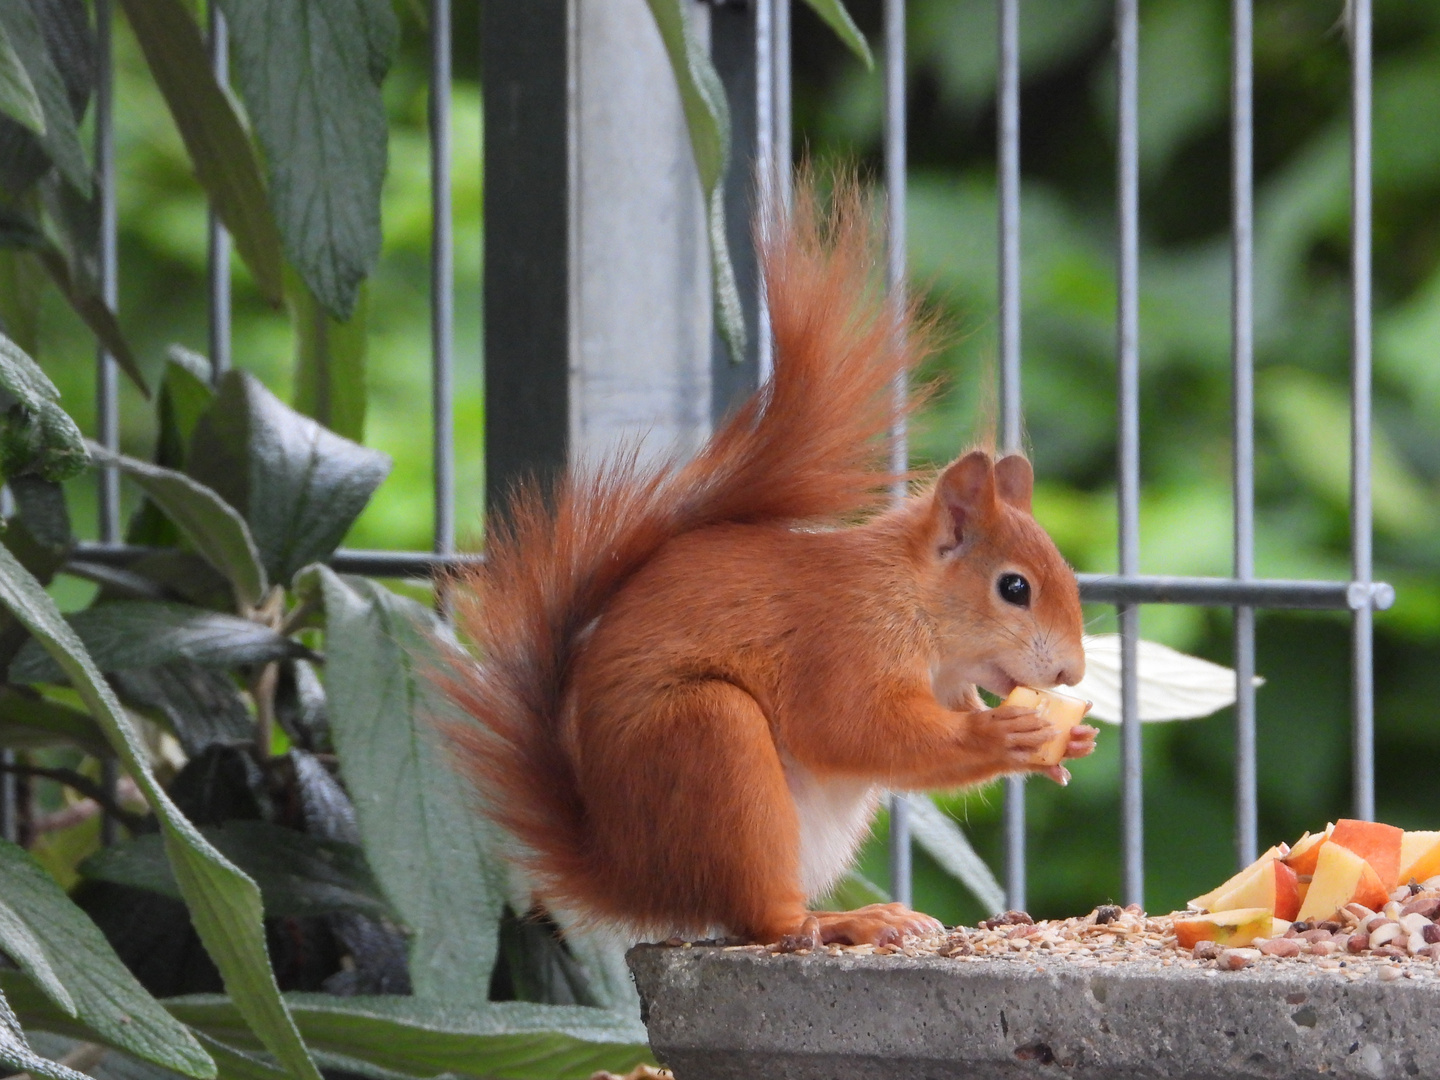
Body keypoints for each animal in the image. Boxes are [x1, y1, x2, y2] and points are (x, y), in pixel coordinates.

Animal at [443, 177, 1094, 944]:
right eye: (1014, 588)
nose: (1070, 673)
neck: (912, 603)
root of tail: (633, 877)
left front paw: (1069, 744)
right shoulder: (841, 644)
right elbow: (855, 727)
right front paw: (996, 731)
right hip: (712, 745)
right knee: (761, 915)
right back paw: (845, 920)